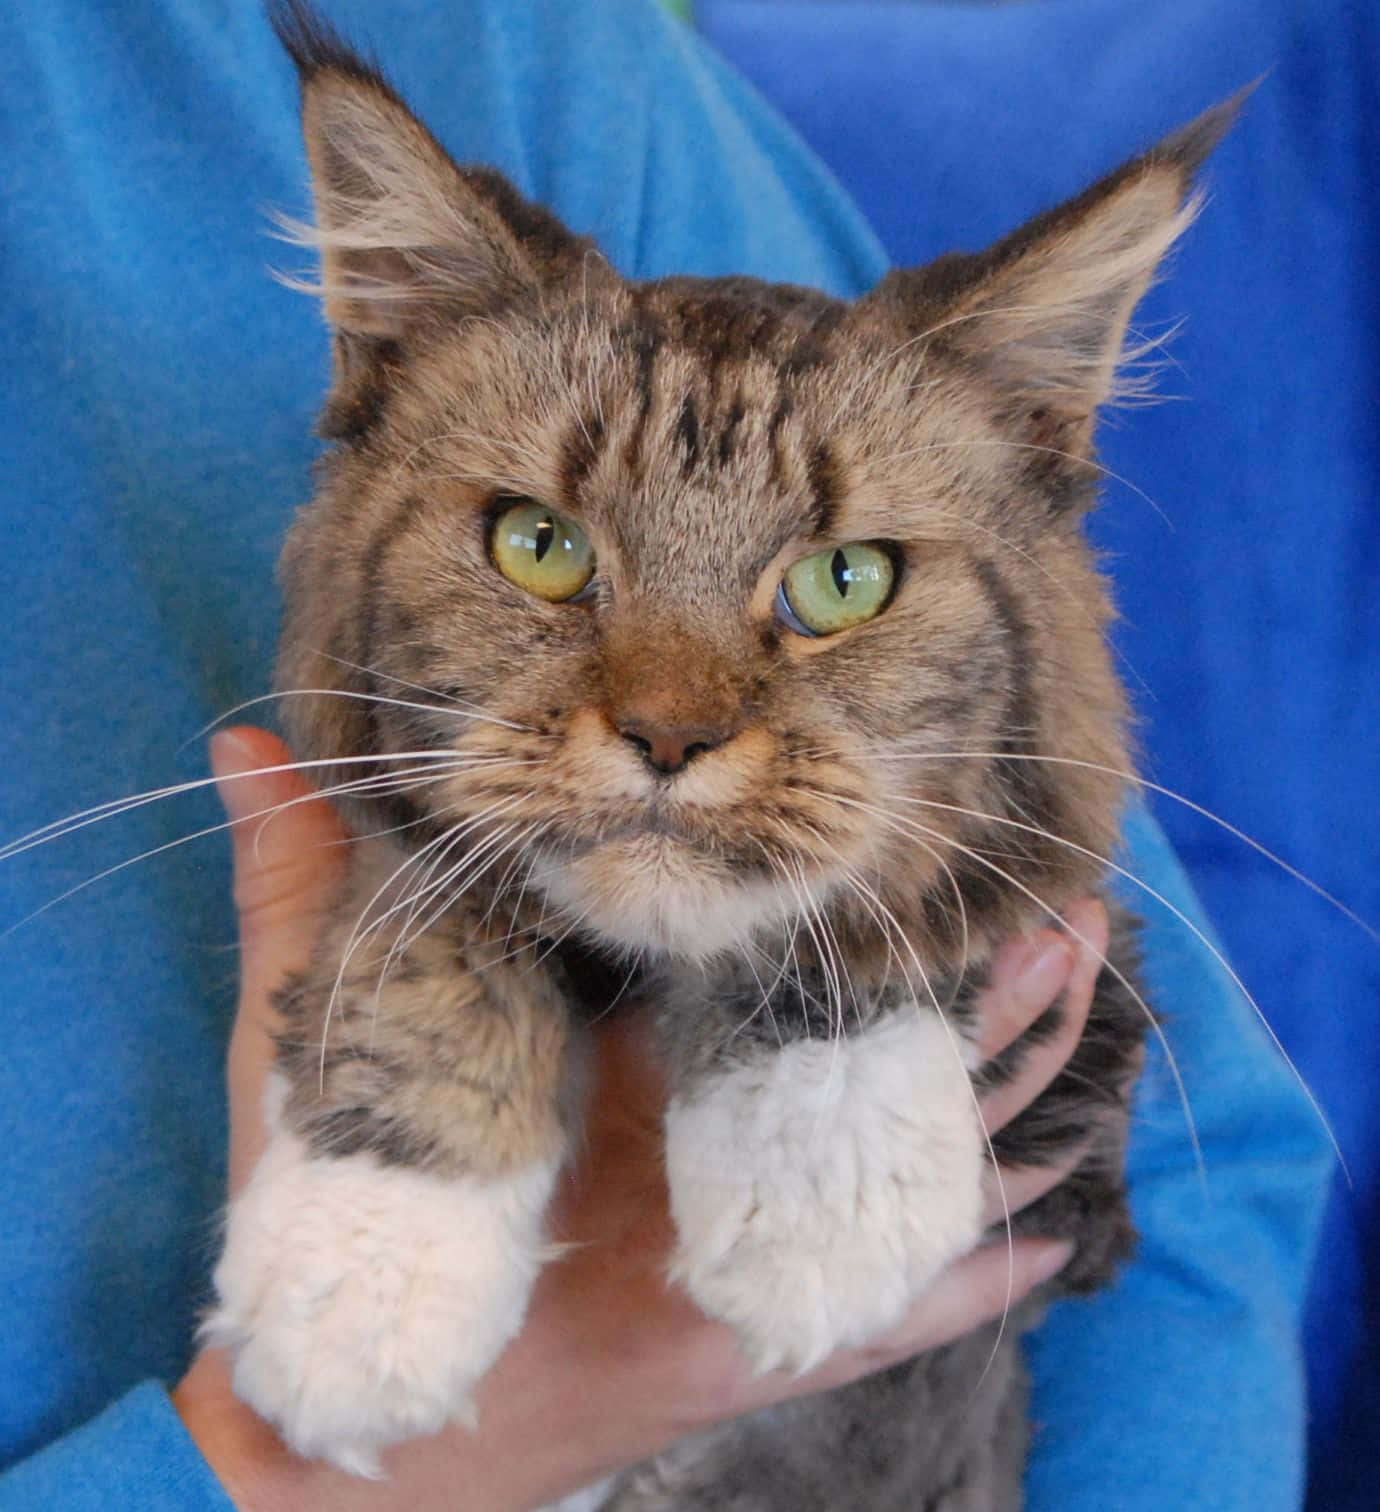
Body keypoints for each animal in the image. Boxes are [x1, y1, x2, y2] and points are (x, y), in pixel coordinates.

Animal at [202, 5, 1227, 1505]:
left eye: (848, 581)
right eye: (539, 544)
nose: (670, 737)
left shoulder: (1082, 1075)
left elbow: (857, 922)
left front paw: (821, 1188)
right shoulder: (402, 822)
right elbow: (425, 933)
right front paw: (369, 1264)